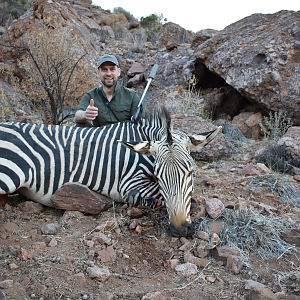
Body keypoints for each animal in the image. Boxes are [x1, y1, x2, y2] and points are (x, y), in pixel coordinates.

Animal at [0, 107, 220, 237]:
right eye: (158, 176)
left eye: (190, 172)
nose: (179, 229)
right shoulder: (130, 183)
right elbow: (156, 197)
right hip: (8, 174)